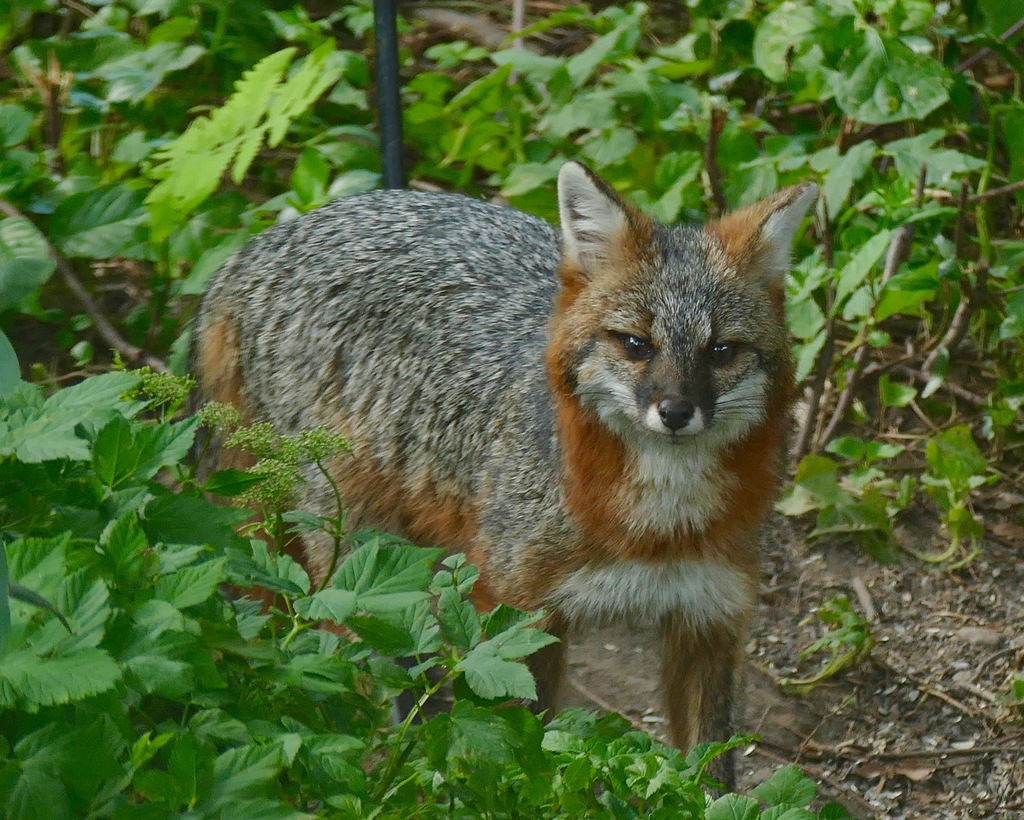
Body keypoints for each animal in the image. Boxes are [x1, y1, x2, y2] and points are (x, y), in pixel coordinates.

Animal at [191, 161, 816, 786]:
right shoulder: (521, 614)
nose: (677, 412)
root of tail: (261, 242)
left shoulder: (708, 622)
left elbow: (711, 776)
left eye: (721, 351)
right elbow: (524, 754)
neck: (658, 527)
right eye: (637, 344)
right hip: (354, 569)